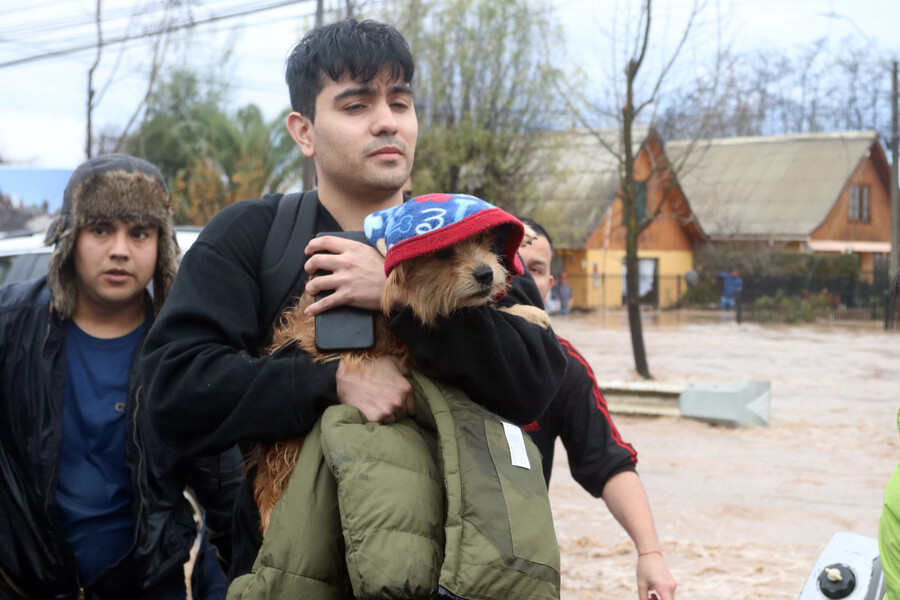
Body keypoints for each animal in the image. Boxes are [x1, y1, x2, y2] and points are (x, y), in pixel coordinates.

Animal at [250, 193, 552, 536]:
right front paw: (528, 312)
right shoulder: (415, 348)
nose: (486, 274)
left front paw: (523, 233)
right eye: (442, 253)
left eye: (482, 241)